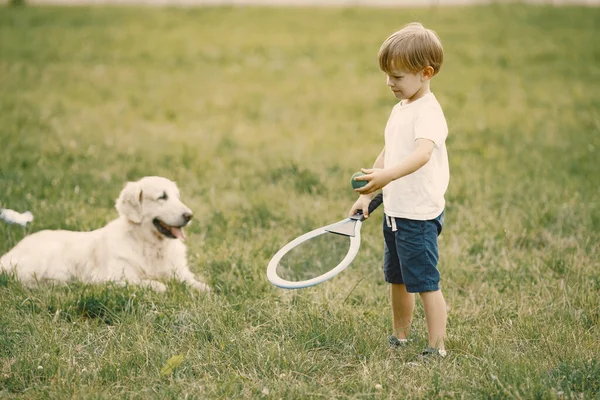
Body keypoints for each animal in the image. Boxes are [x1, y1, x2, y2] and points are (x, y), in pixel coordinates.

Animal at [0, 177, 210, 292]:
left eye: (177, 197)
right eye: (162, 197)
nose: (189, 215)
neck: (150, 245)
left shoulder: (179, 271)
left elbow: (194, 282)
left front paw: (202, 288)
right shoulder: (110, 277)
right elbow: (149, 283)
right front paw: (159, 286)